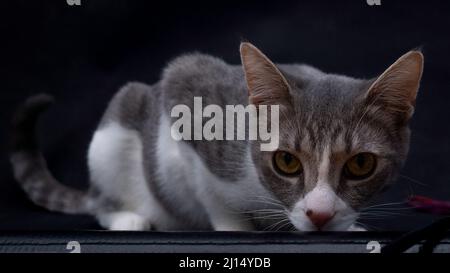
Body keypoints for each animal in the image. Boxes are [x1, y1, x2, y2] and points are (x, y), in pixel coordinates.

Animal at [8, 42, 424, 230]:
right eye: (286, 161)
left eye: (361, 164)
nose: (320, 214)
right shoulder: (186, 99)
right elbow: (211, 196)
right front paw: (236, 227)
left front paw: (348, 224)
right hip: (114, 133)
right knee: (102, 201)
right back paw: (129, 219)